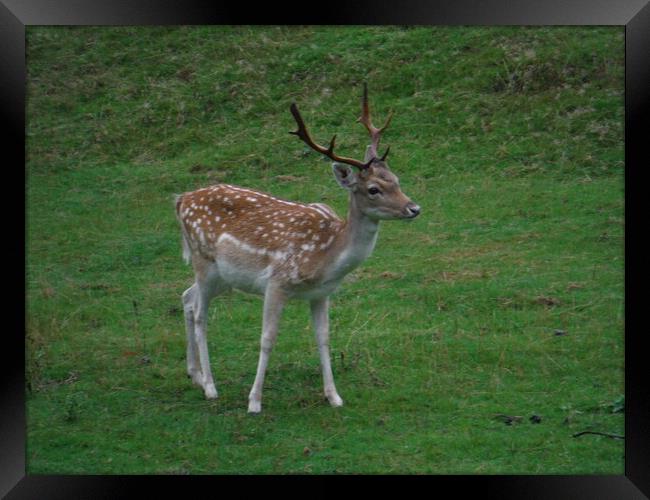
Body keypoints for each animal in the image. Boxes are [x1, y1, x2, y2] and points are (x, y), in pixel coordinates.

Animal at [175, 84, 420, 414]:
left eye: (396, 180)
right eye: (373, 189)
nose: (414, 208)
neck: (325, 257)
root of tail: (181, 199)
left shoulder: (321, 293)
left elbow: (324, 338)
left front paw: (334, 396)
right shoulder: (276, 283)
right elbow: (267, 339)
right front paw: (254, 401)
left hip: (222, 277)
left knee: (187, 298)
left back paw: (195, 375)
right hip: (203, 260)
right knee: (201, 313)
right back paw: (211, 387)